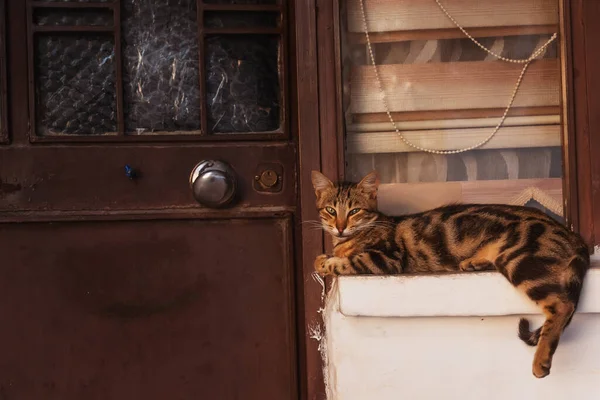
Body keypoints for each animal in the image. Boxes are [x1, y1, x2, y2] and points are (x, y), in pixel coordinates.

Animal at [314, 169, 592, 378]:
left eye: (354, 211)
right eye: (330, 210)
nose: (340, 227)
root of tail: (572, 235)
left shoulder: (386, 259)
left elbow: (345, 262)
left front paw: (325, 261)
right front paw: (327, 255)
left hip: (519, 258)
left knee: (562, 305)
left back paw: (541, 361)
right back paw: (474, 262)